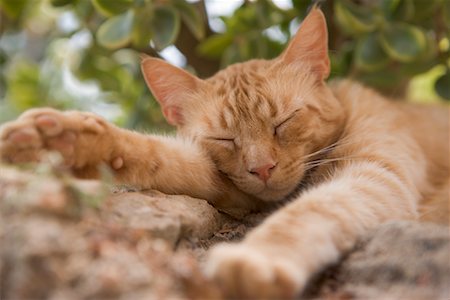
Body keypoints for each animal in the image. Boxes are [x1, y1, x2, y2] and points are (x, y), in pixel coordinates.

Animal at [1, 7, 448, 300]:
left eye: (283, 122)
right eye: (225, 140)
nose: (263, 168)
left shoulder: (377, 175)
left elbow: (309, 211)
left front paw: (258, 261)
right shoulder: (235, 188)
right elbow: (163, 157)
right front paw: (67, 141)